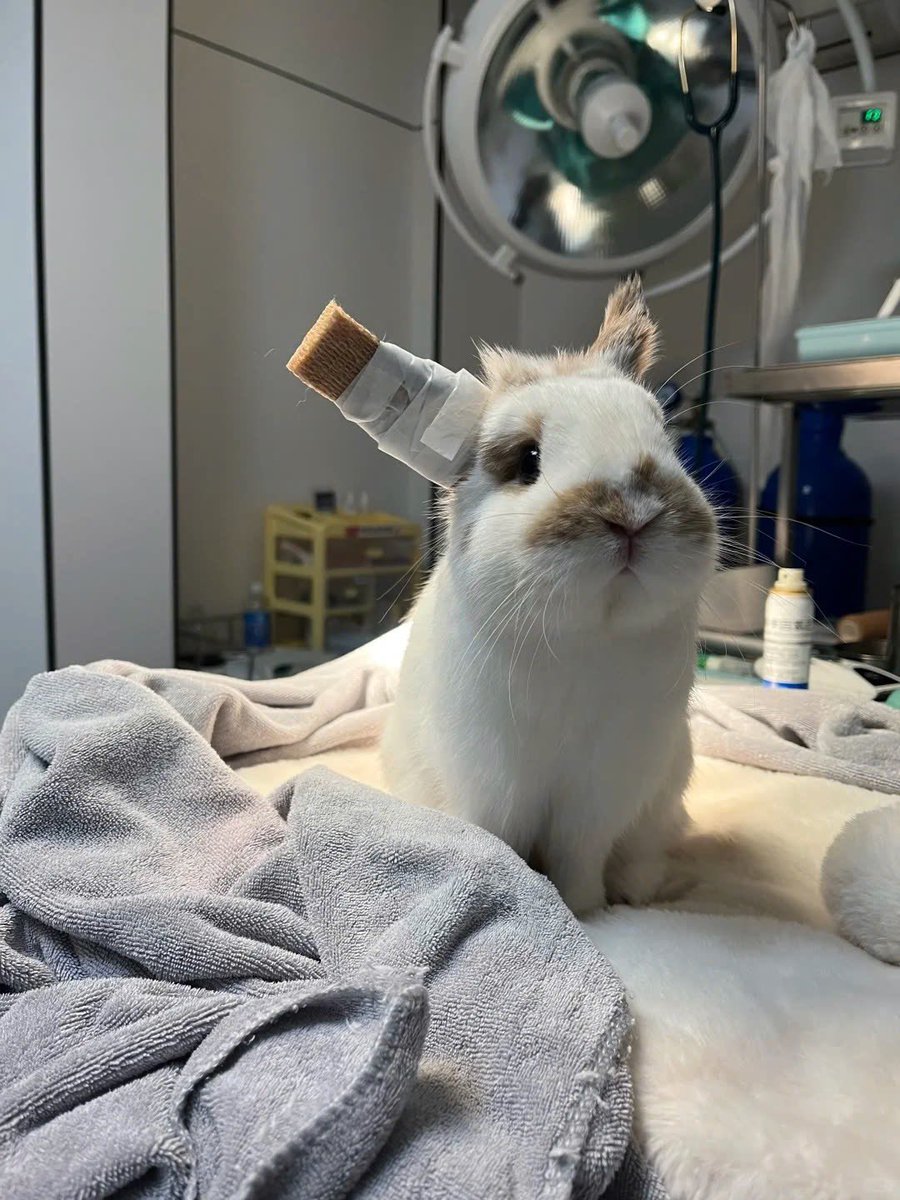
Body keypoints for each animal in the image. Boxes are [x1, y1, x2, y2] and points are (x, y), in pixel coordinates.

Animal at [381, 276, 717, 915]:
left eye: (667, 440)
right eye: (527, 459)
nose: (633, 514)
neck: (585, 637)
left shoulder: (602, 792)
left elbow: (579, 856)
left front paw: (586, 909)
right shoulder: (493, 782)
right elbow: (501, 847)